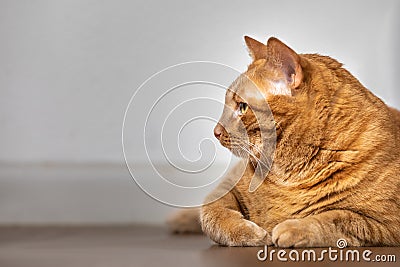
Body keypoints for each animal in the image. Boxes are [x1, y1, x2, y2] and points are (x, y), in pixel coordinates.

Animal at [167, 36, 398, 248]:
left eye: (242, 107)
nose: (215, 131)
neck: (289, 175)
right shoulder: (227, 189)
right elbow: (212, 214)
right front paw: (253, 233)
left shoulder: (386, 224)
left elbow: (337, 217)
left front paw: (293, 227)